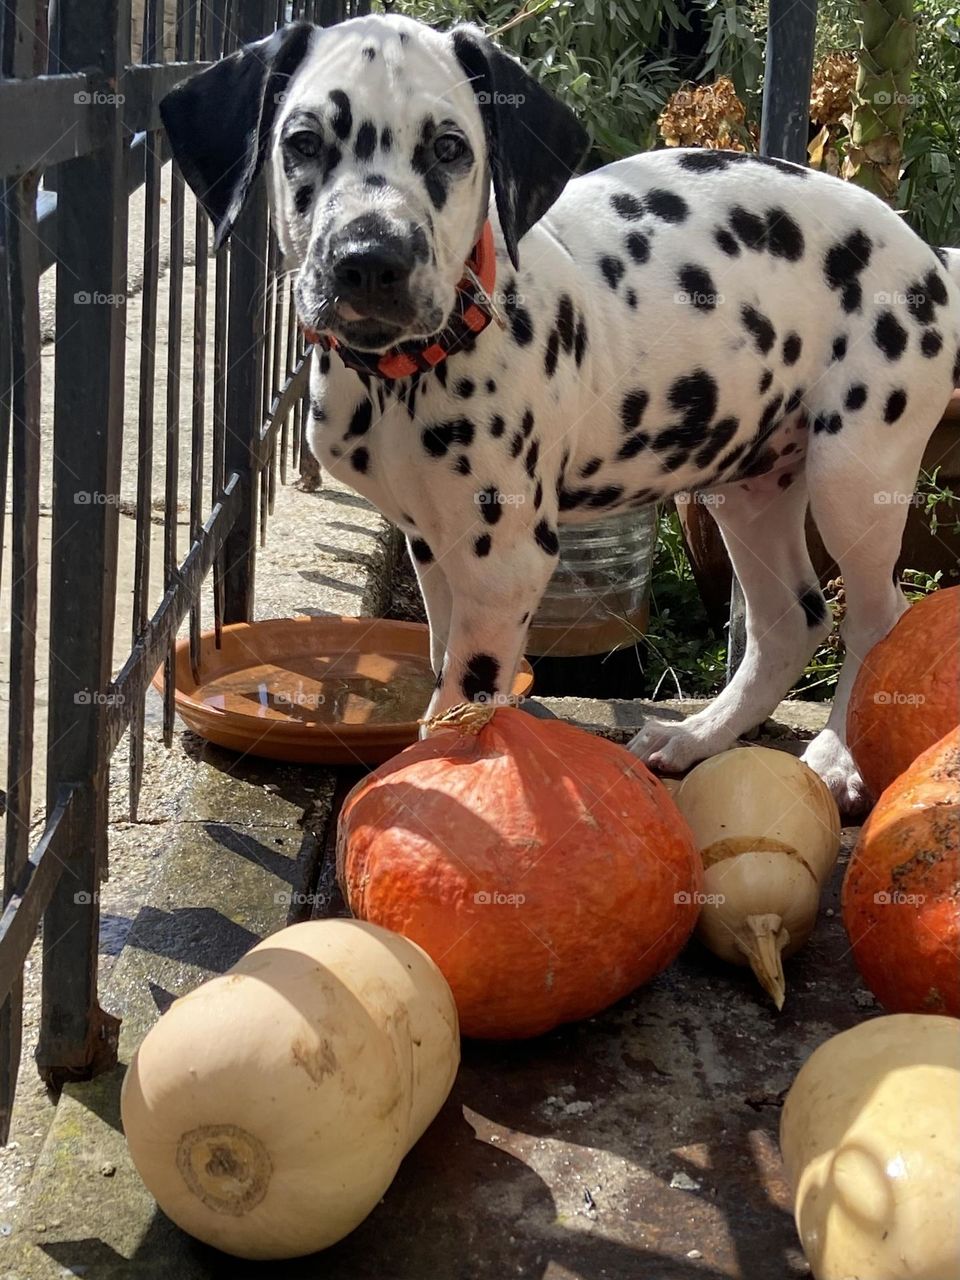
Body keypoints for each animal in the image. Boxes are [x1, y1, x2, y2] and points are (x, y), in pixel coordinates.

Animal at [161, 12, 957, 808]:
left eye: (449, 148)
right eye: (302, 143)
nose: (370, 260)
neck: (409, 372)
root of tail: (928, 254)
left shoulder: (503, 562)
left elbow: (463, 709)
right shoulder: (435, 546)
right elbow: (440, 669)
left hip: (853, 479)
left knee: (878, 619)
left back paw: (838, 754)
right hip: (747, 484)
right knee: (790, 621)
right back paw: (698, 736)